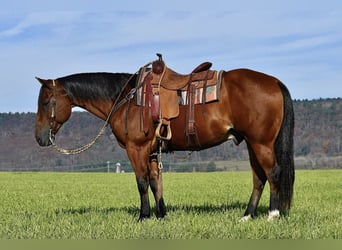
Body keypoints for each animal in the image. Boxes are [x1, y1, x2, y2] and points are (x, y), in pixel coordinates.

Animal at [36, 54, 296, 221]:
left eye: (46, 102)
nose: (39, 138)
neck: (125, 98)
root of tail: (274, 81)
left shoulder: (136, 148)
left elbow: (141, 182)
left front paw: (143, 216)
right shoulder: (151, 151)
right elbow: (155, 182)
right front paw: (161, 214)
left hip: (261, 143)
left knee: (273, 173)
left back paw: (272, 215)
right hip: (253, 144)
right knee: (258, 178)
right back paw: (247, 216)